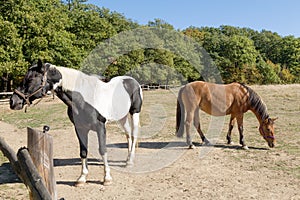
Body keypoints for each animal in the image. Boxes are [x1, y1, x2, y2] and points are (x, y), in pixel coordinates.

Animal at [9, 60, 144, 187]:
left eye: (31, 78)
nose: (13, 102)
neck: (84, 99)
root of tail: (132, 81)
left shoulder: (100, 127)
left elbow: (102, 150)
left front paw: (107, 178)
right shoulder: (79, 128)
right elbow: (83, 151)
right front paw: (82, 178)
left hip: (134, 113)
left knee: (134, 135)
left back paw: (130, 162)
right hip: (122, 117)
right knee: (128, 135)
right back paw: (127, 160)